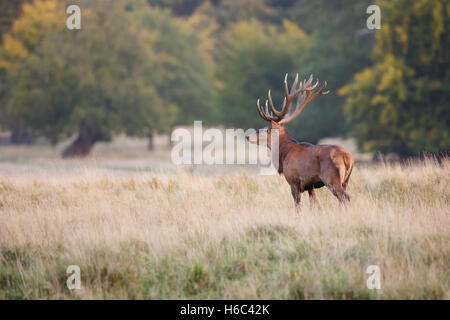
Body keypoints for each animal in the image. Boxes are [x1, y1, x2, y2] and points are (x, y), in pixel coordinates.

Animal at [248, 73, 354, 209]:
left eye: (266, 129)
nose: (247, 136)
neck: (284, 155)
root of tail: (348, 157)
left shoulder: (294, 181)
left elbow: (298, 206)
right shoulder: (310, 186)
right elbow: (313, 205)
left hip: (332, 178)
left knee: (345, 198)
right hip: (345, 180)